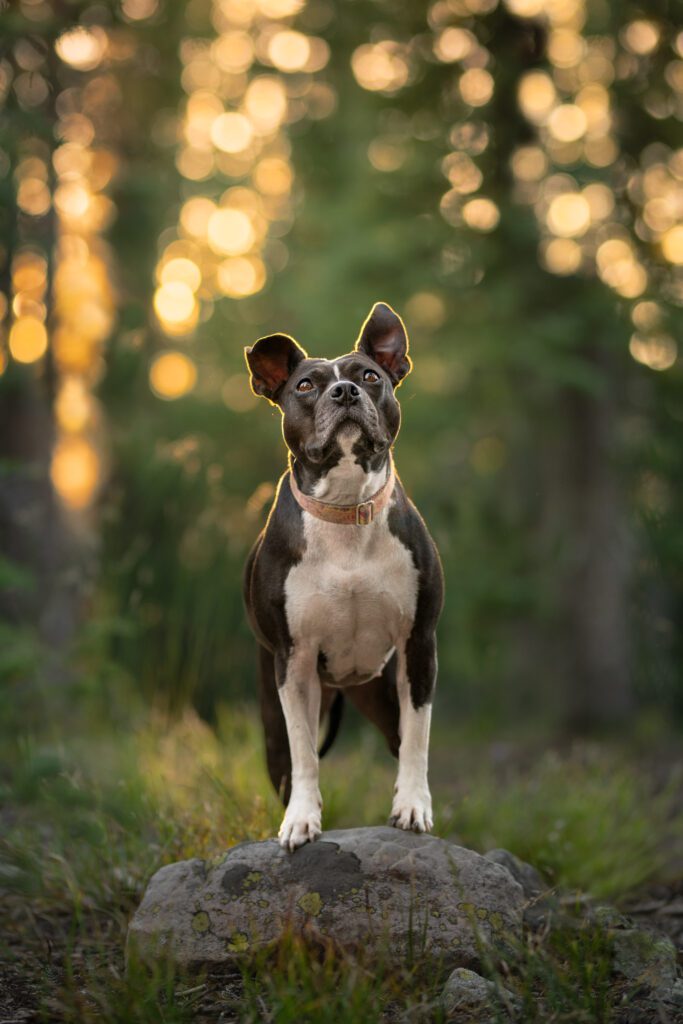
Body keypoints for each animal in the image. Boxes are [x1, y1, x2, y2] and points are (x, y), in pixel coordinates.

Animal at [242, 301, 446, 847]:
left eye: (370, 376)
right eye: (305, 386)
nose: (345, 391)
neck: (346, 508)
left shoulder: (419, 646)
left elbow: (418, 740)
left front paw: (412, 807)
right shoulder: (293, 665)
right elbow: (304, 753)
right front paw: (301, 820)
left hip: (382, 690)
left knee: (400, 739)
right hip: (274, 713)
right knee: (287, 761)